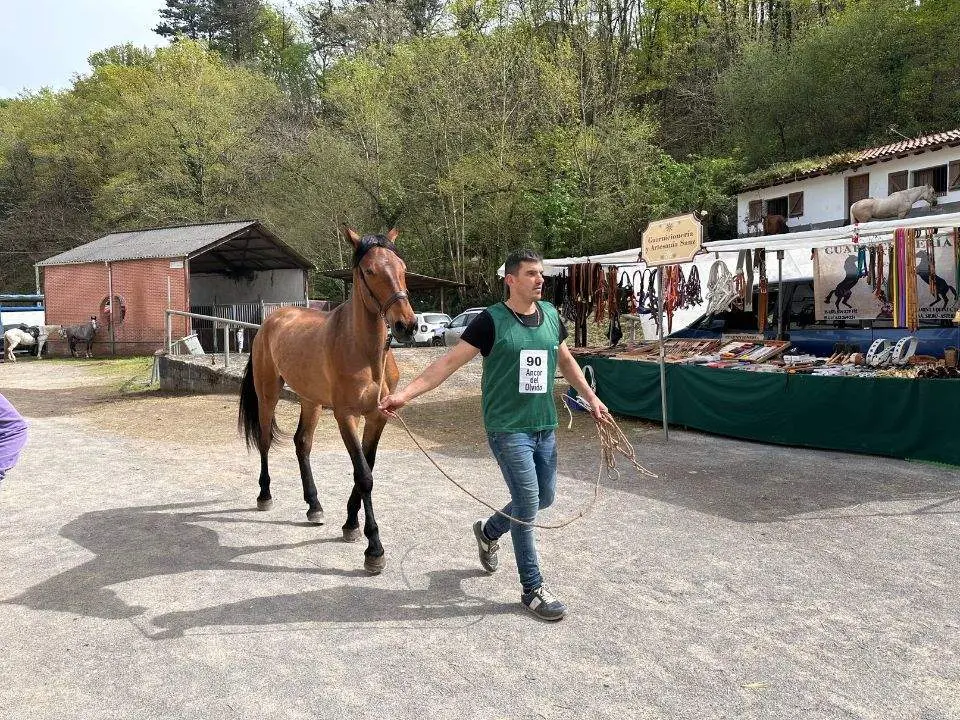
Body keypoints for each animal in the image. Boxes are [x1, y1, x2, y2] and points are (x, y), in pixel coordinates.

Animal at [238, 227, 417, 574]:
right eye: (370, 271)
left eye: (402, 267)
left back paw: (314, 505)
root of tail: (270, 321)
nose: (407, 325)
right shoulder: (346, 416)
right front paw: (374, 549)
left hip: (311, 401)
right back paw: (265, 495)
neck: (365, 353)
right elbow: (364, 475)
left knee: (302, 443)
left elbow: (367, 468)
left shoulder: (377, 417)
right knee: (265, 441)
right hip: (268, 395)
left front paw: (350, 524)